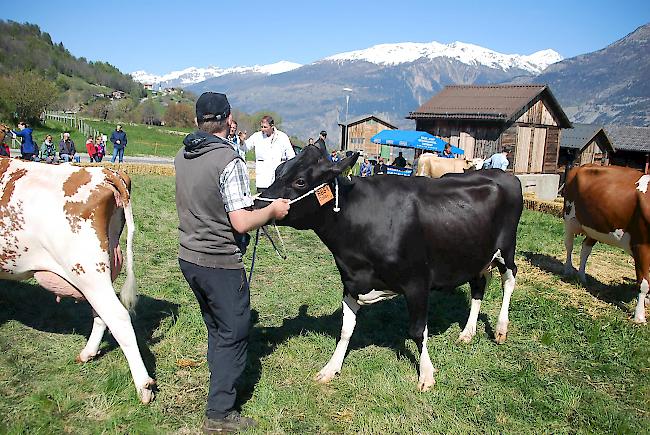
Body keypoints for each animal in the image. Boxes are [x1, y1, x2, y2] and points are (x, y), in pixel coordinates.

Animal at [0, 158, 154, 404]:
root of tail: (107, 172)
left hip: (87, 270)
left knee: (118, 317)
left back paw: (144, 386)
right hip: (96, 273)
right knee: (101, 315)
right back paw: (88, 353)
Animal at [253, 142, 520, 392]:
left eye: (300, 181)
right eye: (278, 170)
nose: (255, 207)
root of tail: (503, 174)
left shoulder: (418, 282)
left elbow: (417, 331)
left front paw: (426, 374)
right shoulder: (351, 281)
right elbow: (345, 329)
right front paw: (331, 367)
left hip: (506, 248)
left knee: (510, 279)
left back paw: (500, 328)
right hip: (475, 253)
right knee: (479, 285)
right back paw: (467, 332)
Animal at [560, 164, 648, 324]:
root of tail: (581, 166)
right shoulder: (642, 245)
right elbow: (643, 283)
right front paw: (639, 316)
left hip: (595, 226)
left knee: (585, 248)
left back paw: (582, 276)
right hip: (570, 218)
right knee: (569, 245)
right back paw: (568, 270)